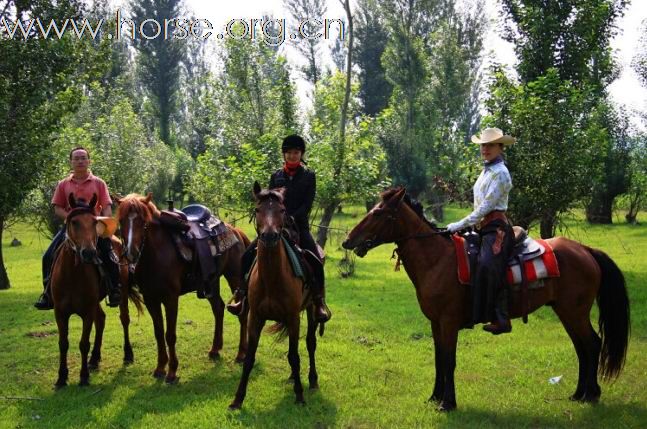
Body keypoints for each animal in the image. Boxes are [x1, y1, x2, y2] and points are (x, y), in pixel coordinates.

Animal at [51, 194, 144, 388]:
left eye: (94, 222)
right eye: (74, 222)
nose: (89, 253)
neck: (72, 274)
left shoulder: (87, 311)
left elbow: (83, 343)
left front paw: (83, 376)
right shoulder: (60, 312)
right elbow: (63, 343)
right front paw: (62, 377)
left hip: (122, 294)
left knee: (124, 319)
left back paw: (127, 354)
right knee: (101, 320)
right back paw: (94, 359)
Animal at [116, 192, 251, 382]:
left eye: (143, 221)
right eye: (121, 220)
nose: (131, 252)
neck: (156, 255)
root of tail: (235, 231)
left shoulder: (170, 299)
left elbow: (170, 335)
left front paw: (172, 372)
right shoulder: (151, 299)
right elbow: (159, 333)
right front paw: (160, 368)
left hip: (235, 278)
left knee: (242, 313)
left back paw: (241, 354)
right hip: (212, 281)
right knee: (218, 308)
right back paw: (215, 349)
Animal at [229, 182, 322, 410]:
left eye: (281, 210)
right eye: (257, 210)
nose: (270, 236)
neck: (271, 278)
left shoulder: (293, 317)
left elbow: (295, 356)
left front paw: (299, 395)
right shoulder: (255, 317)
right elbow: (250, 358)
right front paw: (237, 399)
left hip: (311, 309)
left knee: (310, 343)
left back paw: (312, 380)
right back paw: (293, 377)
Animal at [342, 189, 632, 410]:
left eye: (378, 213)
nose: (347, 240)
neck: (438, 260)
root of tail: (586, 250)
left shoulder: (449, 322)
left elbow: (449, 360)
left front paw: (447, 403)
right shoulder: (435, 323)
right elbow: (439, 358)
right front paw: (435, 397)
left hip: (574, 311)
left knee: (592, 344)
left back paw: (591, 394)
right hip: (566, 312)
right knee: (583, 348)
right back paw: (578, 393)